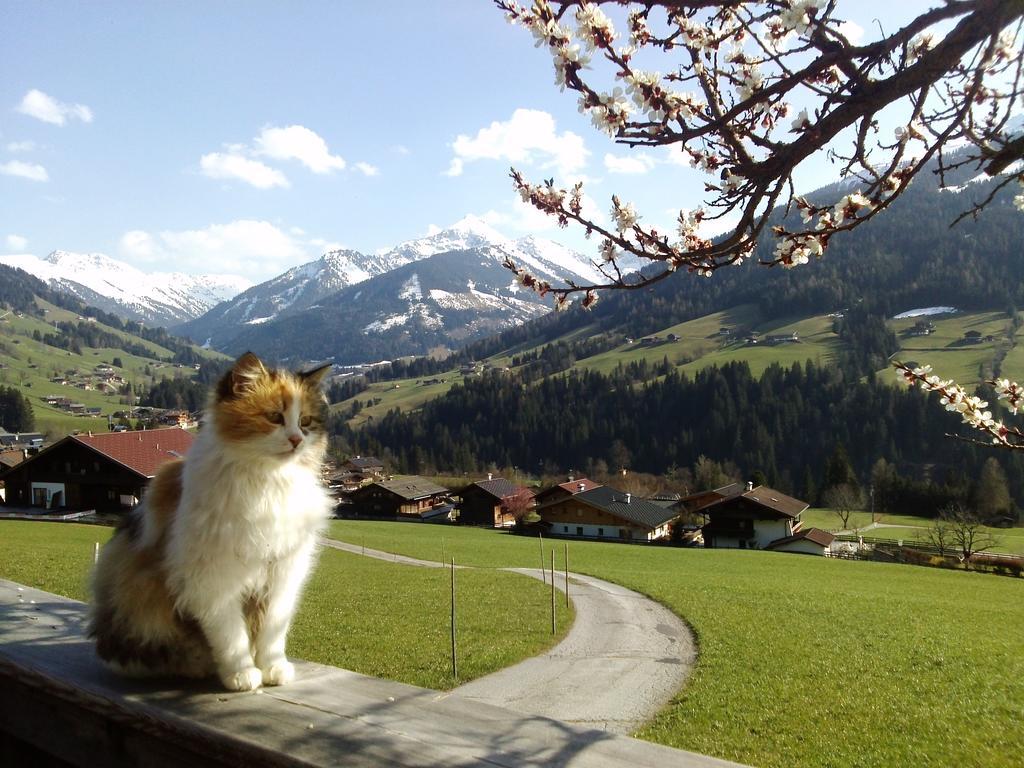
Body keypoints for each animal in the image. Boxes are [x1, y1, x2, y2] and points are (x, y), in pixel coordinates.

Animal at [89, 352, 331, 696]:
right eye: (275, 417)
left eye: (306, 422)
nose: (297, 439)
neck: (268, 481)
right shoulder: (213, 579)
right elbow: (231, 636)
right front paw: (242, 674)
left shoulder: (283, 573)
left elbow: (271, 632)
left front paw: (273, 668)